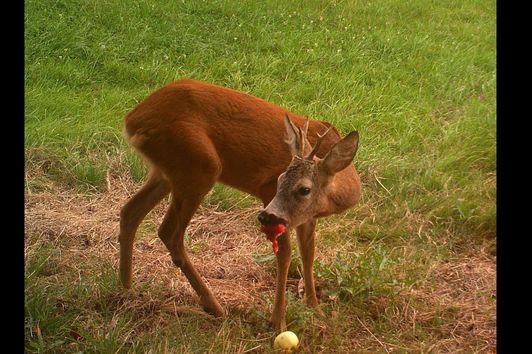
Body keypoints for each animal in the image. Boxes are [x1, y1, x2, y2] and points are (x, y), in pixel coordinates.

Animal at [119, 79, 362, 330]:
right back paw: (214, 306)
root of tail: (132, 121)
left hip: (167, 172)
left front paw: (316, 310)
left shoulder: (306, 216)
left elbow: (308, 253)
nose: (263, 217)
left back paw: (126, 287)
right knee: (169, 232)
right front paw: (278, 321)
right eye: (278, 180)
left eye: (304, 189)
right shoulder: (268, 192)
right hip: (199, 165)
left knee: (131, 212)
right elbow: (285, 255)